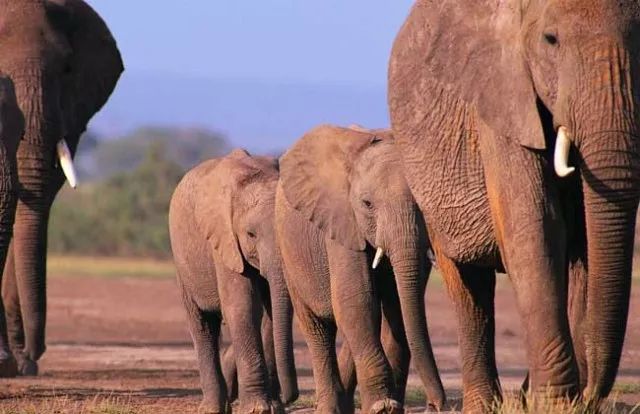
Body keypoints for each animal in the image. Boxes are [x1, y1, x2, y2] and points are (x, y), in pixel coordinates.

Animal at [170, 150, 300, 414]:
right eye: (251, 235)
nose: (291, 398)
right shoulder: (223, 241)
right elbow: (243, 308)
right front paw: (258, 409)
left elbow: (269, 312)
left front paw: (273, 407)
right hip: (182, 261)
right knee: (202, 325)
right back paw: (212, 408)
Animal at [276, 124, 444, 412]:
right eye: (367, 204)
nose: (434, 405)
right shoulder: (341, 220)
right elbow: (356, 299)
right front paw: (382, 407)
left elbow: (395, 306)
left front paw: (389, 406)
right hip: (289, 254)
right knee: (318, 328)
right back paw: (330, 407)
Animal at [388, 1, 640, 412]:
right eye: (551, 40)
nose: (590, 395)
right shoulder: (502, 101)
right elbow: (536, 226)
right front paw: (555, 403)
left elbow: (584, 240)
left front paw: (557, 401)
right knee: (468, 283)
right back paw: (485, 404)